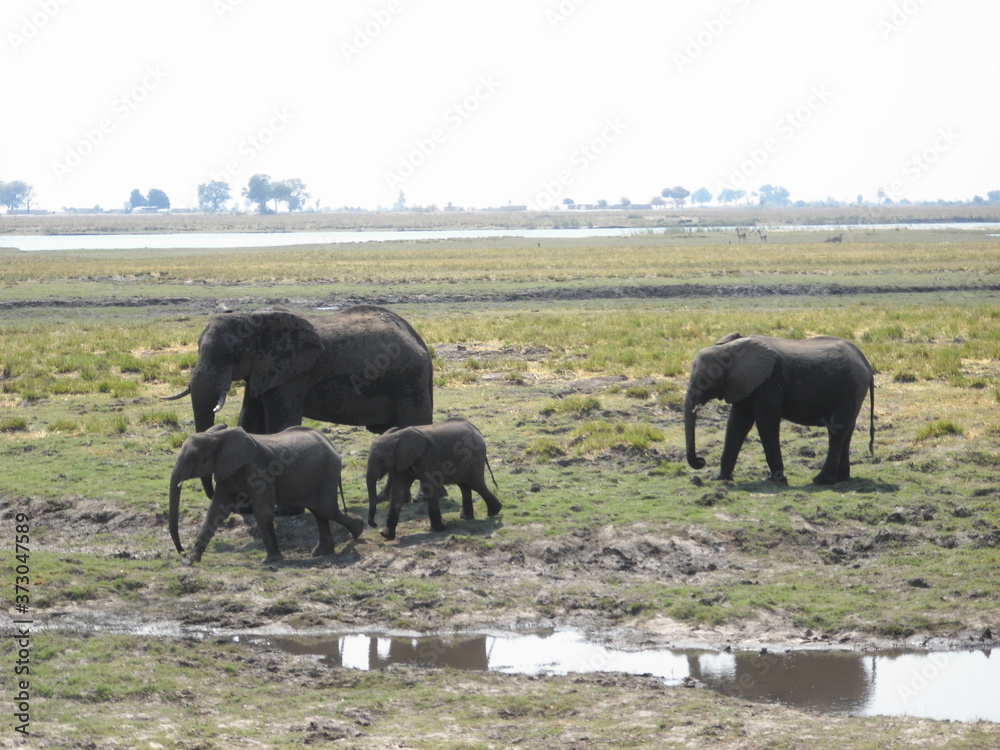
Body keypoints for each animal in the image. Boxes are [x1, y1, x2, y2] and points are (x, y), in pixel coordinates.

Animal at [164, 304, 434, 499]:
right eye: (197, 347)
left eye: (234, 353)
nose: (210, 494)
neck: (253, 317)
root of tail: (418, 339)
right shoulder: (263, 370)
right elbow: (249, 419)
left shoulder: (291, 375)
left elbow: (280, 423)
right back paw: (386, 498)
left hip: (410, 379)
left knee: (416, 429)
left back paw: (421, 497)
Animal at [169, 424, 365, 564]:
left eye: (197, 459)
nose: (182, 553)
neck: (217, 436)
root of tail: (330, 443)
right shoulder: (226, 470)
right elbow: (216, 510)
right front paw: (193, 560)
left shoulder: (259, 471)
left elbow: (262, 511)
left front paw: (271, 561)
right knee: (319, 511)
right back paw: (322, 552)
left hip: (327, 472)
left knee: (326, 509)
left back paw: (358, 530)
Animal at [366, 417, 502, 540]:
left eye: (382, 459)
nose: (374, 524)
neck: (396, 436)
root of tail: (475, 429)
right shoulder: (403, 460)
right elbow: (397, 490)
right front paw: (386, 535)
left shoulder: (427, 456)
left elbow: (430, 485)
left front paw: (438, 529)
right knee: (464, 485)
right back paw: (466, 517)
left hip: (474, 457)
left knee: (476, 484)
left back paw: (494, 512)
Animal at [684, 333, 874, 485]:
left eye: (705, 381)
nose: (701, 461)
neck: (728, 349)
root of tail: (866, 363)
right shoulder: (745, 383)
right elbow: (737, 424)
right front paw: (719, 479)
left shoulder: (769, 383)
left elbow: (766, 423)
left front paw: (777, 481)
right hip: (853, 392)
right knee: (846, 432)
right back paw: (841, 479)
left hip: (849, 389)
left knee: (836, 432)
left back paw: (822, 481)